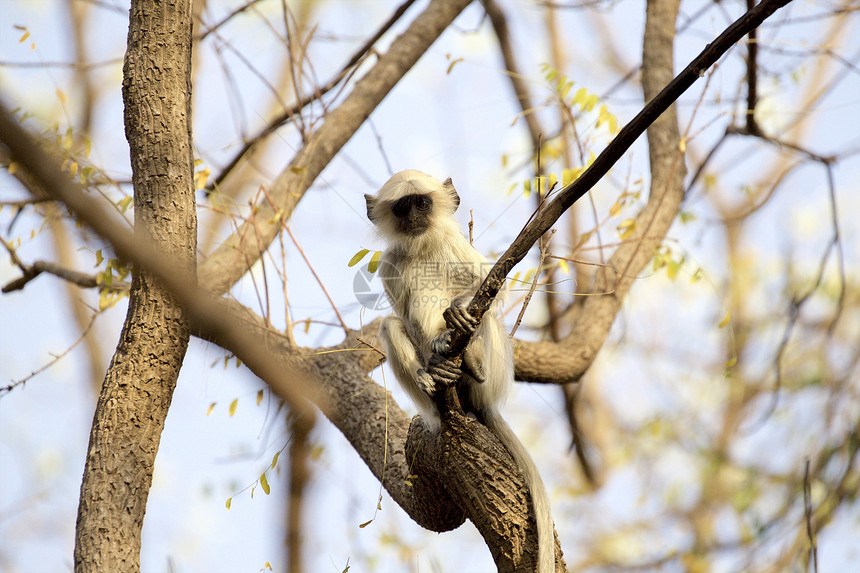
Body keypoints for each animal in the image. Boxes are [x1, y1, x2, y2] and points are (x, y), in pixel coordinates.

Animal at [364, 170, 556, 572]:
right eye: (402, 208)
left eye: (422, 203)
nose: (413, 217)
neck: (422, 247)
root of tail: (480, 404)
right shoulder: (390, 263)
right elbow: (403, 316)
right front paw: (433, 361)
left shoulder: (457, 247)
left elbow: (494, 289)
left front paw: (458, 311)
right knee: (390, 324)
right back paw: (433, 378)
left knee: (484, 319)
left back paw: (473, 362)